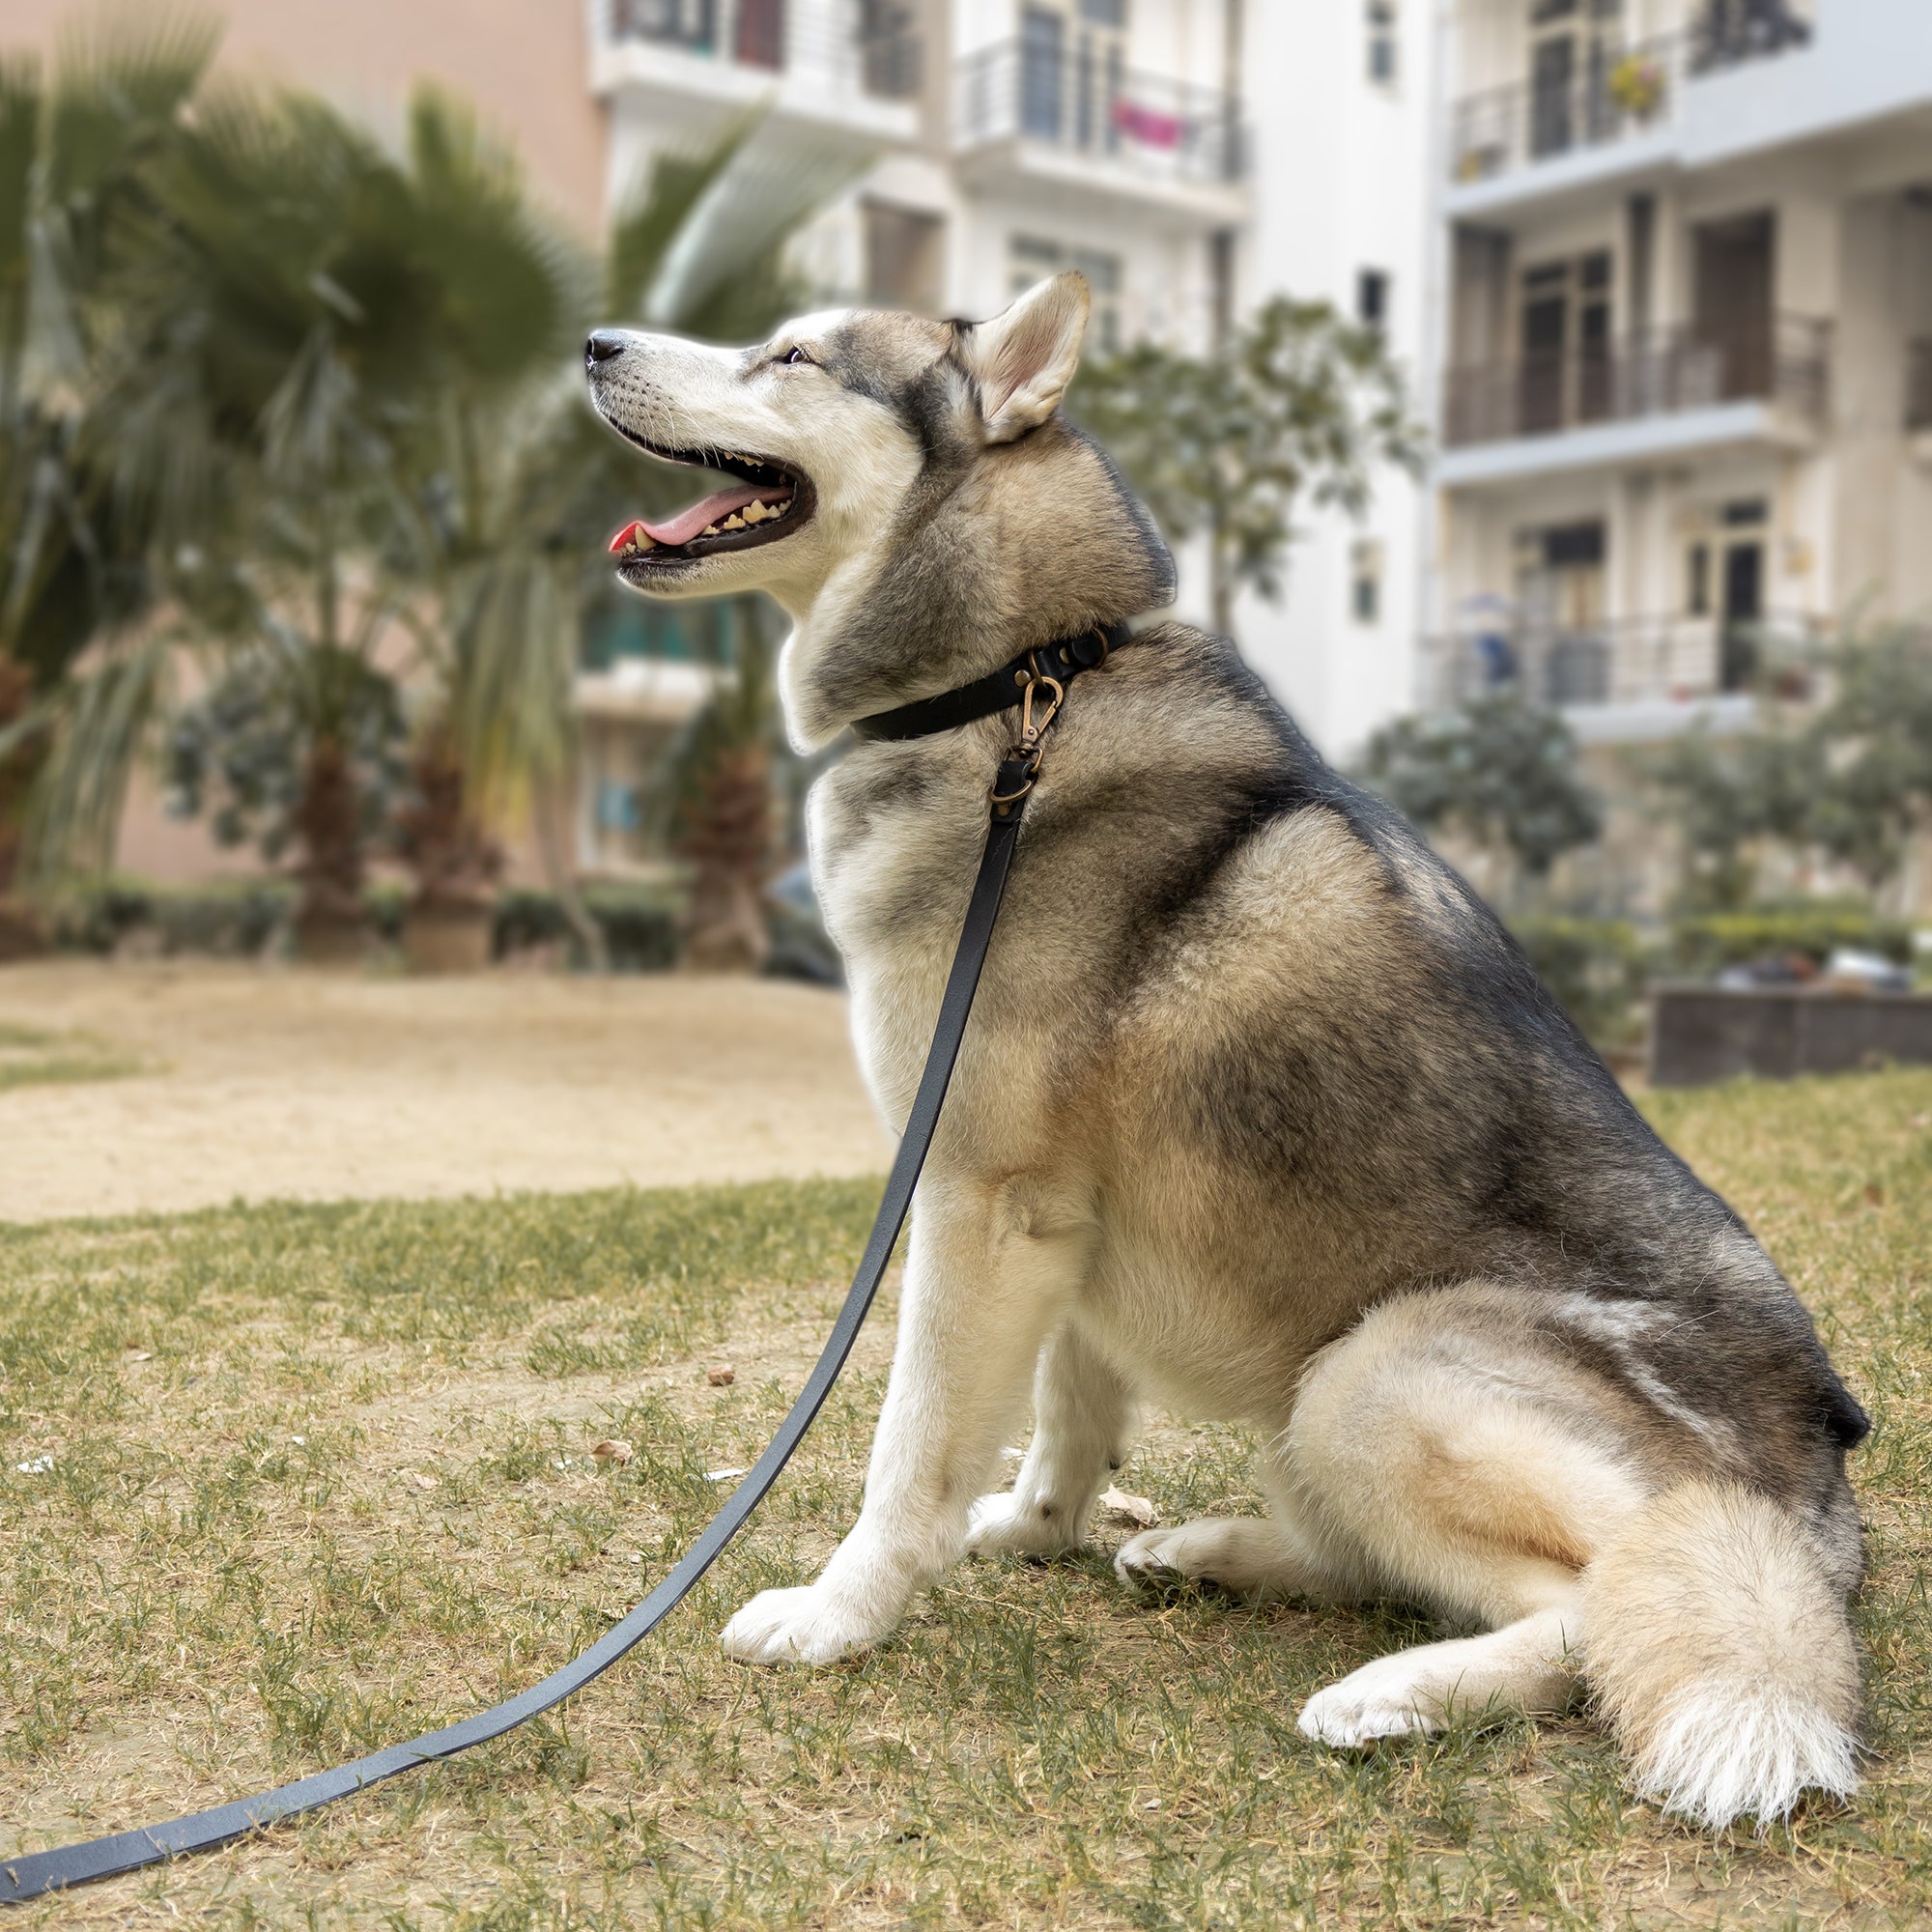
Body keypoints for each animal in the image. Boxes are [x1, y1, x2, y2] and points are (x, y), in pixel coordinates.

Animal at [580, 269, 1862, 1824]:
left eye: (793, 355)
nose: (594, 342)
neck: (1013, 692)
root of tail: (1814, 1514)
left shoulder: (976, 1196)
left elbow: (907, 1449)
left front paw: (843, 1613)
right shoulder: (1059, 1221)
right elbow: (1068, 1404)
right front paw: (1036, 1528)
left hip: (1374, 1374)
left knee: (1584, 1610)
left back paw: (1387, 1693)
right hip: (1330, 1410)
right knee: (1404, 1567)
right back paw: (1213, 1551)